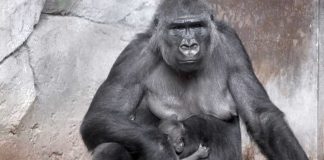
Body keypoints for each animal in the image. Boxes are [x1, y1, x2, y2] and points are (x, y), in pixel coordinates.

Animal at [79, 0, 308, 160]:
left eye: (197, 25)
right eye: (177, 29)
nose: (189, 46)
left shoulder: (232, 46)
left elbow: (260, 115)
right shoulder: (134, 56)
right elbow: (101, 115)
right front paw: (159, 147)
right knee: (111, 145)